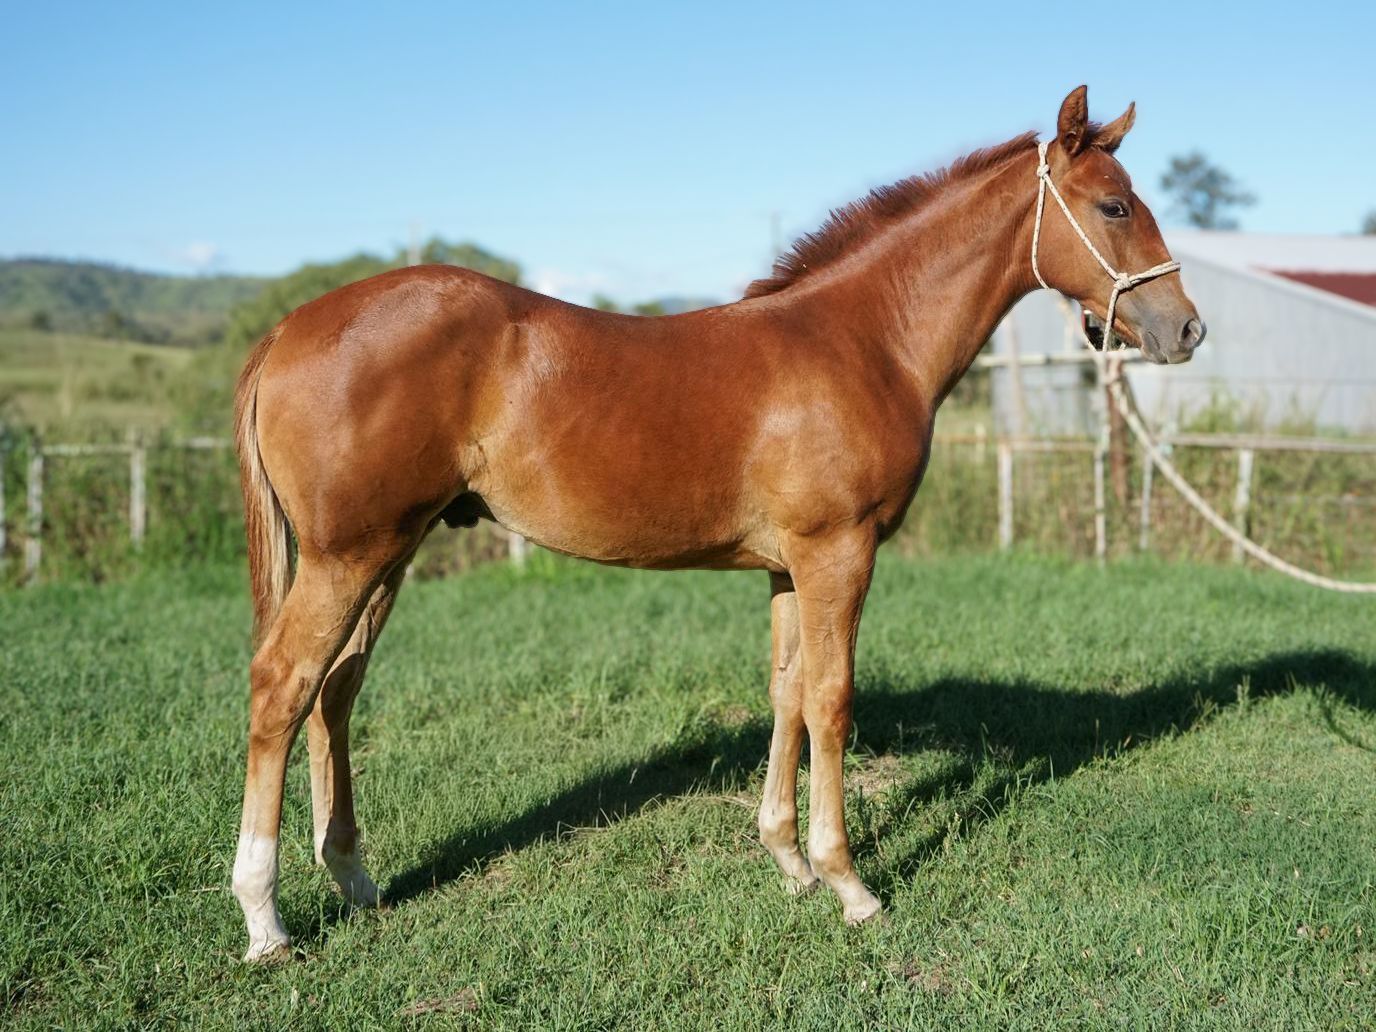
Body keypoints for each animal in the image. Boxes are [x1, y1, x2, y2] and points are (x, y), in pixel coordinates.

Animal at [230, 85, 1204, 960]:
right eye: (1115, 205)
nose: (1187, 330)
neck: (864, 340)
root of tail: (287, 330)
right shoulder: (838, 553)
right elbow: (831, 699)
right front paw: (849, 883)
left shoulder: (787, 567)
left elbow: (786, 693)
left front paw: (789, 863)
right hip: (349, 556)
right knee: (283, 687)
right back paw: (265, 921)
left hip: (388, 553)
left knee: (335, 691)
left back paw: (354, 879)